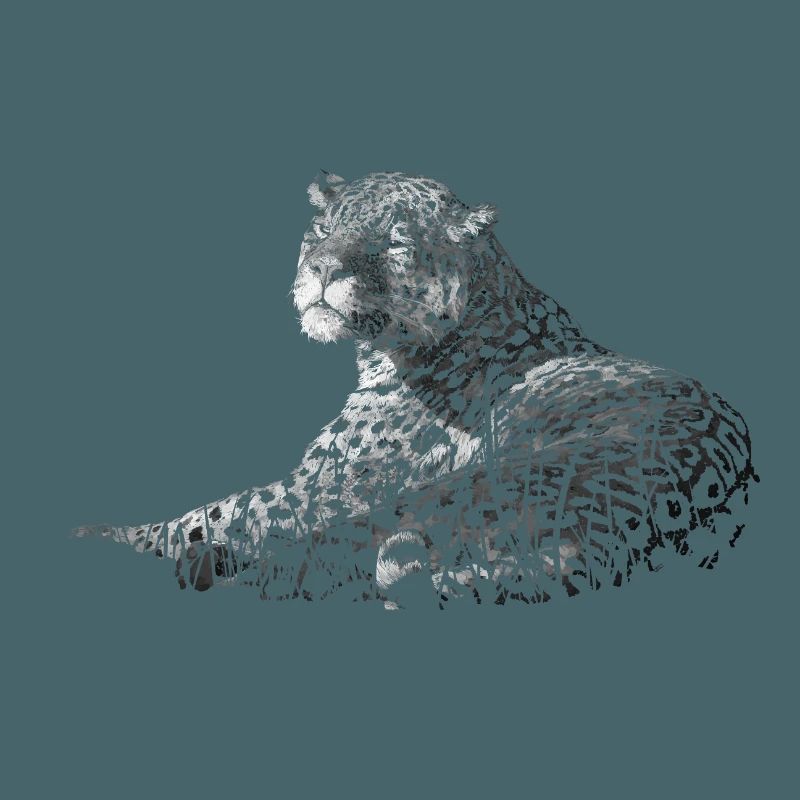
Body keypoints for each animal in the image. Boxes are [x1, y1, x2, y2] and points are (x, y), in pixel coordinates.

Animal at [75, 170, 757, 609]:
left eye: (395, 242)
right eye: (320, 230)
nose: (321, 268)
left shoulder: (321, 485)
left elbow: (216, 512)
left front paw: (106, 536)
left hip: (448, 492)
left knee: (311, 566)